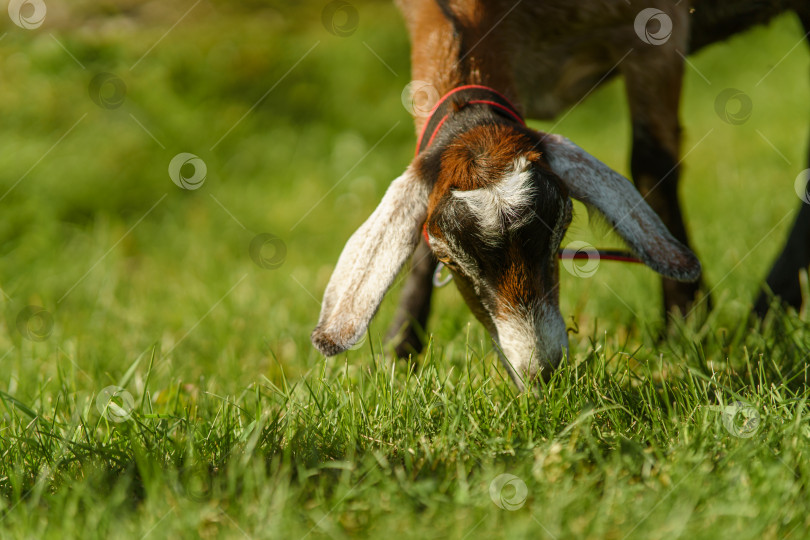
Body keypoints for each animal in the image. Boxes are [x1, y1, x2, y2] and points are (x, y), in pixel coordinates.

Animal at [310, 0, 808, 390]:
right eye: (447, 257)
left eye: (562, 228)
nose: (542, 371)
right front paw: (400, 352)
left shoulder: (659, 34)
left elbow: (653, 167)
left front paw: (683, 330)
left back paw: (773, 306)